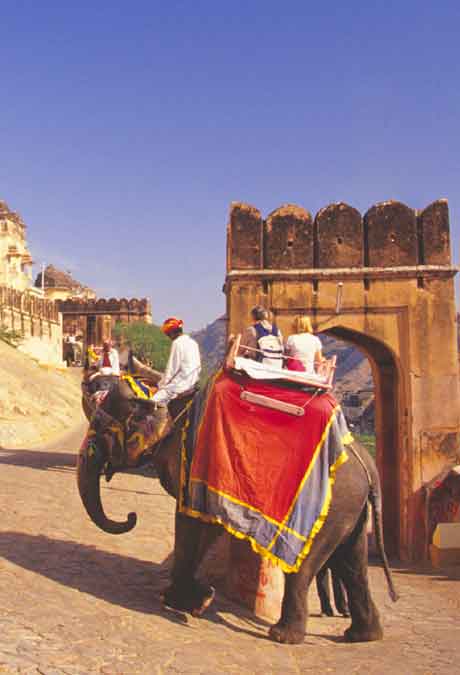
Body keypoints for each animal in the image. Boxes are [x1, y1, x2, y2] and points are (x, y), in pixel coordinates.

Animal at [77, 374, 398, 644]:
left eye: (102, 431)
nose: (131, 516)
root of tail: (367, 465)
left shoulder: (191, 461)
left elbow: (190, 522)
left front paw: (186, 601)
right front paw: (195, 599)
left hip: (330, 506)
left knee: (307, 566)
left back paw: (282, 636)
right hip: (351, 509)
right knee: (351, 561)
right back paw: (362, 636)